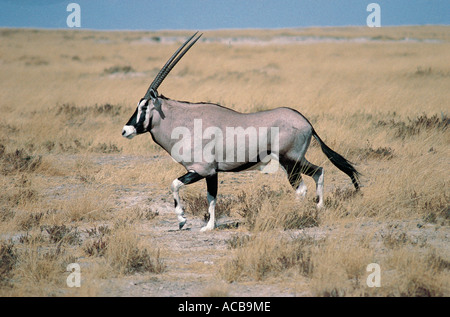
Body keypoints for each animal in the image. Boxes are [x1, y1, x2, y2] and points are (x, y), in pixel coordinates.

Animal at [121, 32, 360, 231]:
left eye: (144, 106)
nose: (126, 130)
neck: (185, 123)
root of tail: (306, 122)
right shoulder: (212, 173)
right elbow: (211, 197)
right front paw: (208, 226)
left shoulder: (202, 169)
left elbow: (176, 185)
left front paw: (185, 220)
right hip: (297, 160)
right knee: (319, 170)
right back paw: (319, 208)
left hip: (289, 161)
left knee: (301, 188)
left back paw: (296, 214)